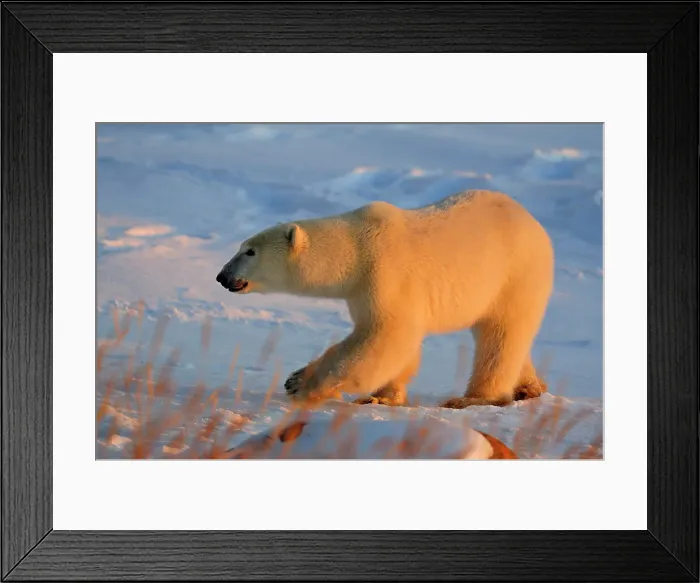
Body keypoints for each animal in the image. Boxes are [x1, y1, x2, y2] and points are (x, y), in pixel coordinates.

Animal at [216, 189, 554, 409]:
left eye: (249, 251)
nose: (222, 276)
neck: (356, 249)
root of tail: (536, 224)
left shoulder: (385, 274)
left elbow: (386, 335)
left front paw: (299, 382)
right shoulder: (359, 291)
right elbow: (395, 344)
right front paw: (382, 396)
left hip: (514, 275)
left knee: (500, 335)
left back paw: (472, 399)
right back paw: (529, 388)